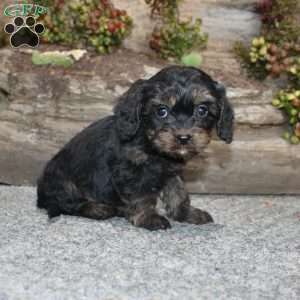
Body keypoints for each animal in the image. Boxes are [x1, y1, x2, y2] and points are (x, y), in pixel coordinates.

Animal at [37, 65, 234, 230]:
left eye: (202, 110)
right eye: (161, 111)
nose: (183, 137)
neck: (150, 144)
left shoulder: (172, 172)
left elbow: (178, 193)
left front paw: (186, 214)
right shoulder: (130, 171)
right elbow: (141, 196)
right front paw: (148, 218)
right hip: (62, 181)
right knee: (66, 204)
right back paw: (97, 208)